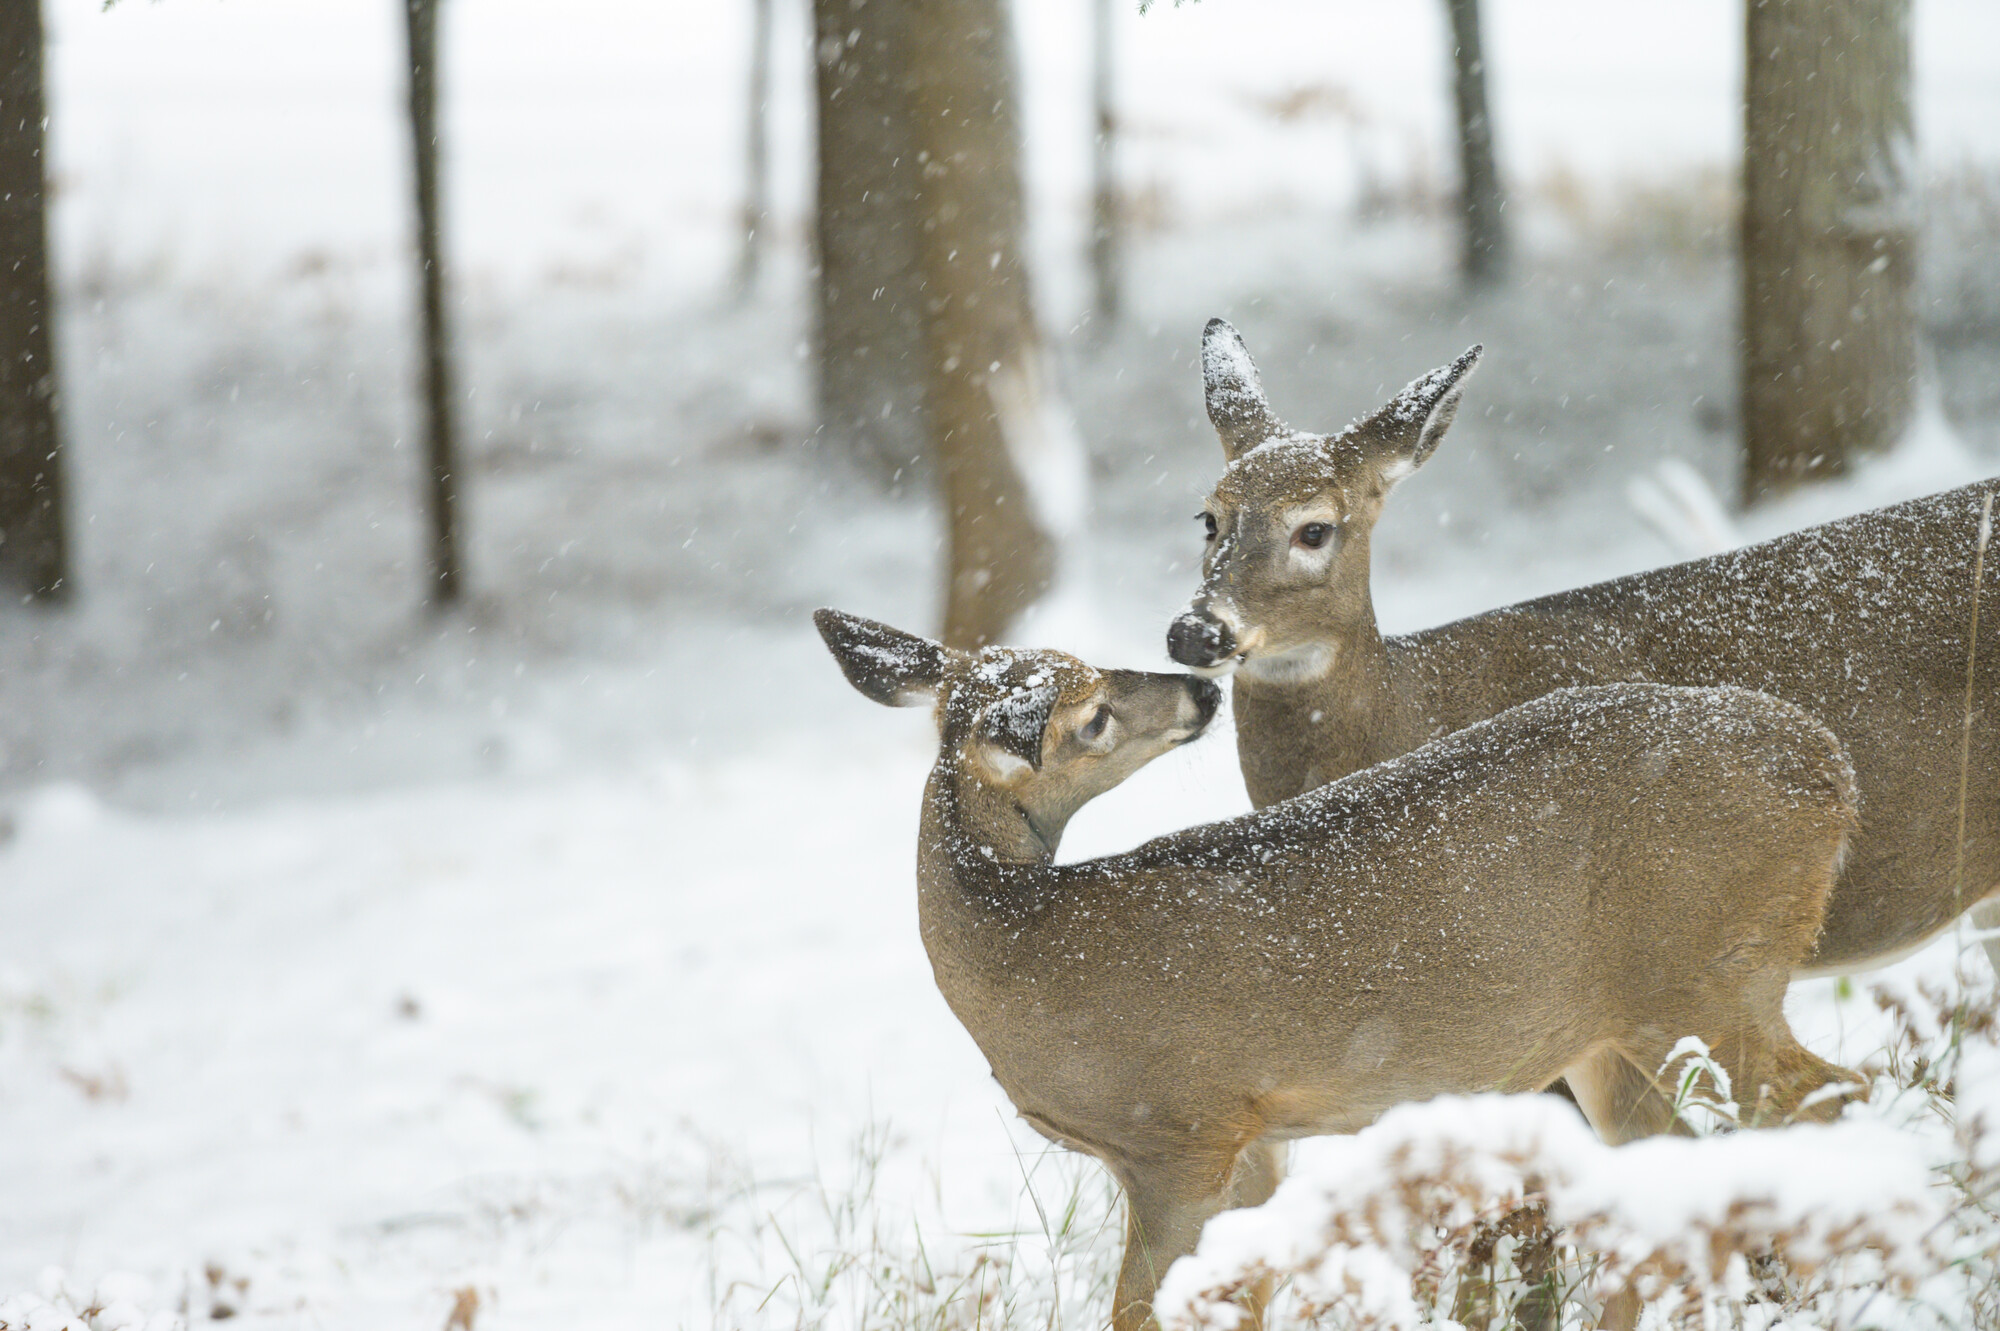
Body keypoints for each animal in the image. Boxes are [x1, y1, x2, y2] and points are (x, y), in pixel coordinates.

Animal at [808, 607, 1856, 1327]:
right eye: (1093, 716)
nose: (1200, 690)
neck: (1025, 954)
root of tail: (1830, 767)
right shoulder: (1252, 1135)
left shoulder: (1179, 1130)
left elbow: (1142, 1311)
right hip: (1612, 1035)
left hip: (1705, 974)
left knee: (1829, 1098)